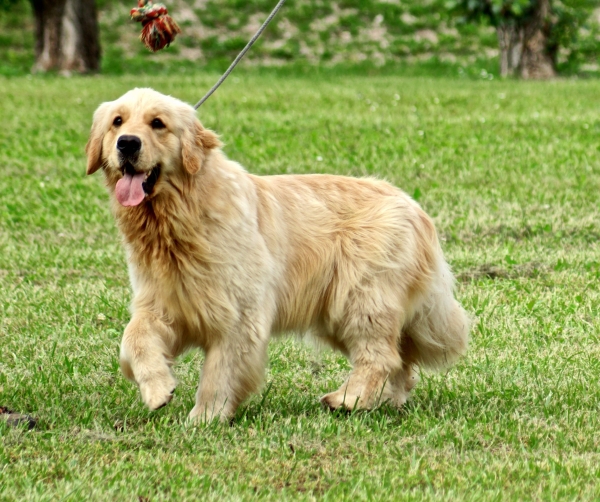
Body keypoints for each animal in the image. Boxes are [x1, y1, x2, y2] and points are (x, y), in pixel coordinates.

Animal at [86, 88, 469, 421]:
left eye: (158, 123)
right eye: (118, 121)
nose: (127, 143)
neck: (178, 217)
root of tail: (413, 206)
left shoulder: (240, 314)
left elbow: (220, 372)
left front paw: (205, 417)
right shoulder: (162, 303)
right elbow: (133, 340)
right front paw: (157, 389)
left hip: (359, 300)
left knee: (381, 356)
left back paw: (348, 399)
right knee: (398, 360)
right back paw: (382, 401)